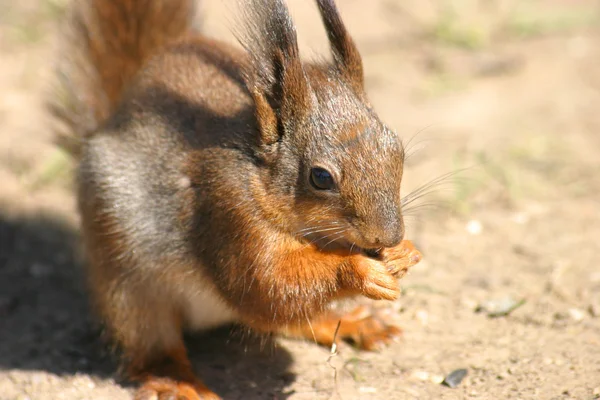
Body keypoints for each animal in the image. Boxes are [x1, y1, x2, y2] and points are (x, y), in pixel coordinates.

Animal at [48, 0, 422, 396]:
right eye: (320, 177)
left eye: (397, 150)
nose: (389, 235)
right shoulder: (227, 212)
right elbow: (267, 285)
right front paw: (360, 271)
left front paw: (404, 253)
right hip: (127, 284)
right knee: (152, 340)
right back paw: (175, 380)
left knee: (293, 320)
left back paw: (352, 321)